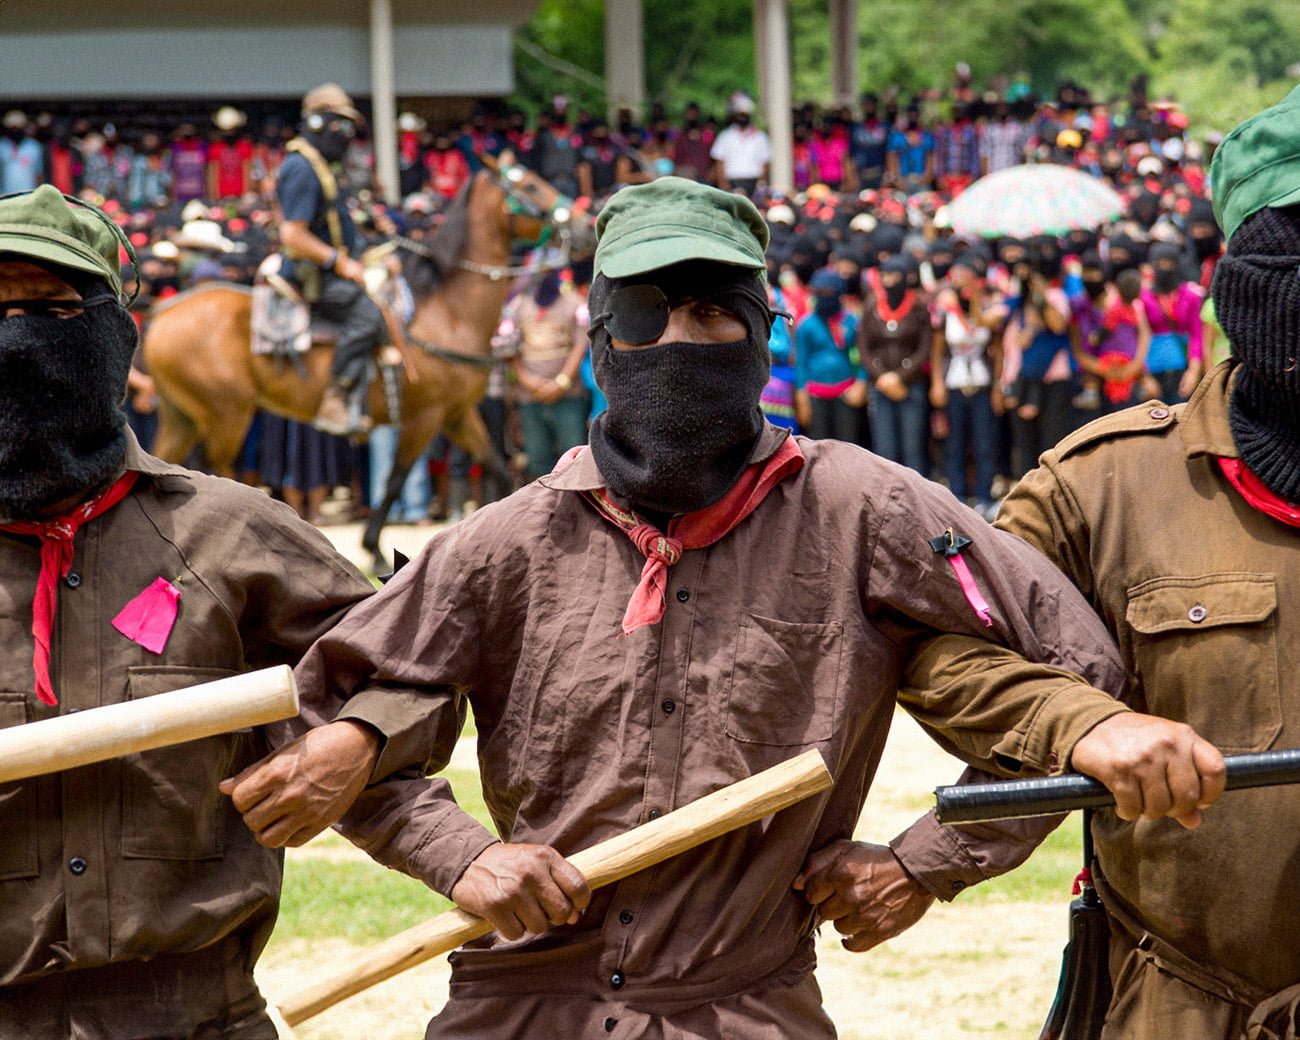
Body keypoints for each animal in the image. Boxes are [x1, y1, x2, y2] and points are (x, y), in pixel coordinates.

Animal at [141, 164, 590, 569]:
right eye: (530, 184)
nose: (584, 224)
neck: (447, 312)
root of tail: (164, 313)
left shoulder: (457, 415)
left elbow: (497, 465)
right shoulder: (423, 417)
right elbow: (394, 479)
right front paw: (374, 549)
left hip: (181, 417)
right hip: (227, 415)